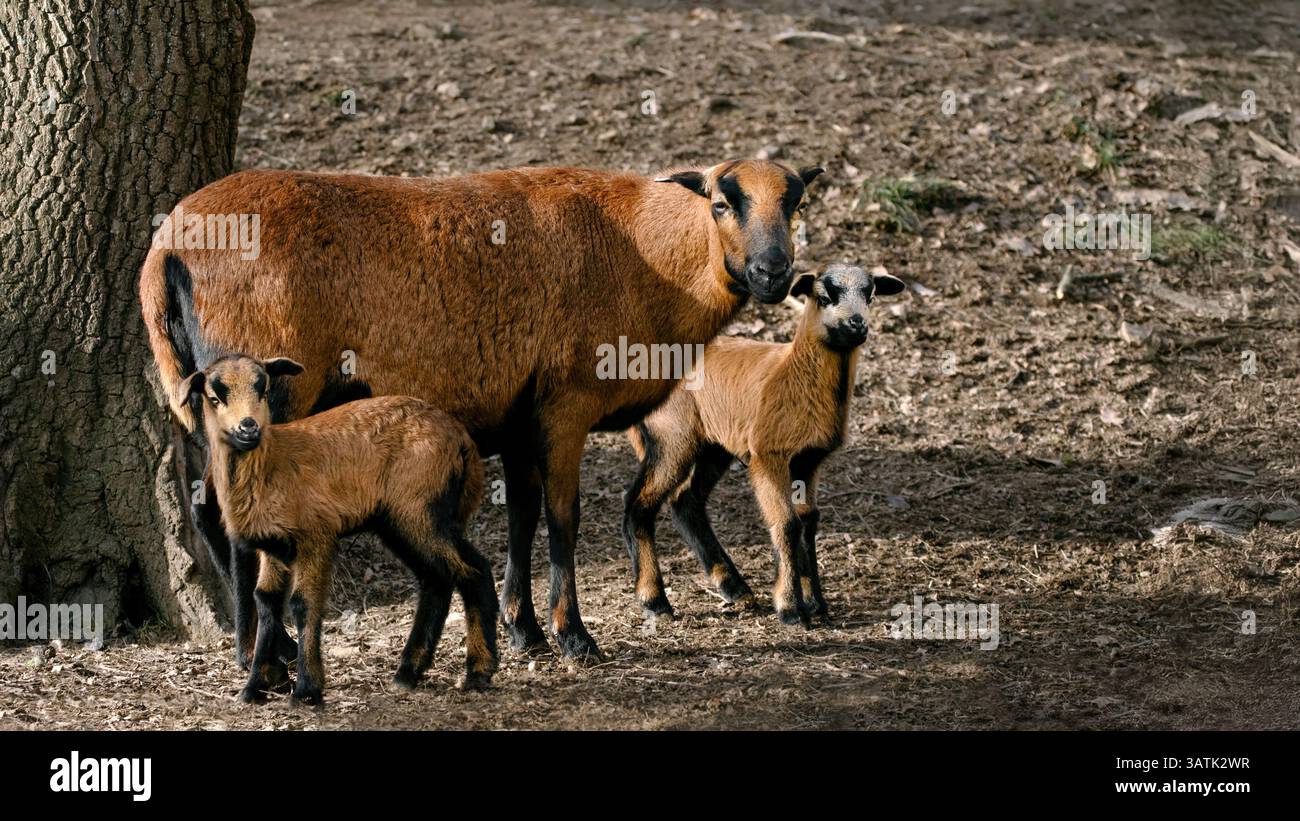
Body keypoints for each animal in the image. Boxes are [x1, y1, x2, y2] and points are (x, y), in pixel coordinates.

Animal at [139, 159, 823, 661]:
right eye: (721, 203)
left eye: (793, 203)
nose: (773, 271)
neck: (643, 255)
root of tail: (166, 253)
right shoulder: (565, 405)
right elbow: (563, 518)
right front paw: (574, 638)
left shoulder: (519, 417)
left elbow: (521, 516)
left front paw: (526, 632)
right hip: (263, 388)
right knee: (237, 505)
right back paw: (267, 650)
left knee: (206, 507)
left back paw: (259, 642)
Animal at [176, 354, 496, 704]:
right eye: (214, 397)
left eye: (263, 389)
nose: (248, 427)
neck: (271, 463)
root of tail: (462, 440)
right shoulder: (272, 546)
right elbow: (266, 600)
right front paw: (255, 686)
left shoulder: (316, 535)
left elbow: (303, 603)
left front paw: (306, 689)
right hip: (398, 521)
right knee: (437, 579)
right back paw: (408, 672)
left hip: (422, 509)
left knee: (473, 570)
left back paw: (479, 671)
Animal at [622, 263, 905, 626]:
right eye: (824, 296)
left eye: (870, 296)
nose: (857, 324)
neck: (794, 371)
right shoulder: (768, 455)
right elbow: (786, 523)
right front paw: (790, 609)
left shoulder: (808, 461)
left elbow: (808, 521)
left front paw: (816, 603)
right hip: (672, 433)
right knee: (638, 504)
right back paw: (654, 600)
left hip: (714, 443)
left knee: (686, 501)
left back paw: (734, 588)